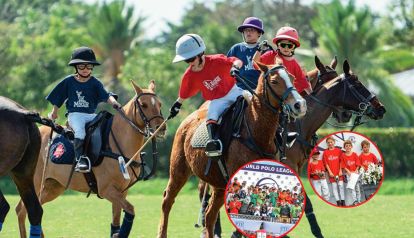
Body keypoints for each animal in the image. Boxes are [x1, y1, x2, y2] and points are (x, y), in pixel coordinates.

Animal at [16, 81, 166, 237]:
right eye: (144, 105)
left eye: (159, 104)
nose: (161, 128)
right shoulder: (106, 189)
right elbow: (130, 210)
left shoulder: (121, 191)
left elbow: (116, 224)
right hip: (34, 181)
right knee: (22, 210)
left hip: (52, 186)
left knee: (33, 210)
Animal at [158, 61, 308, 238]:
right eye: (274, 81)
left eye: (292, 77)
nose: (300, 105)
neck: (257, 132)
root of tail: (187, 120)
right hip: (179, 169)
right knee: (167, 200)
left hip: (218, 183)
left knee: (209, 214)